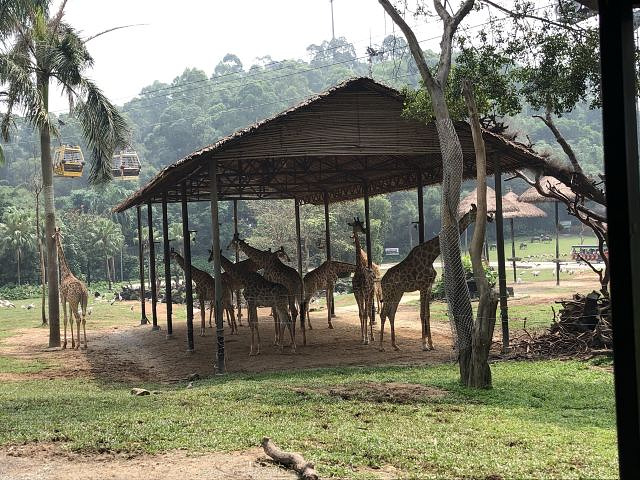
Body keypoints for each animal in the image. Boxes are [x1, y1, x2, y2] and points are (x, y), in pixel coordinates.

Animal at [380, 205, 480, 352]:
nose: (490, 217)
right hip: (388, 293)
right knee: (383, 314)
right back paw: (381, 346)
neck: (431, 256)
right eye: (475, 213)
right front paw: (424, 345)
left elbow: (427, 314)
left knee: (391, 314)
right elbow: (422, 314)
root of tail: (381, 281)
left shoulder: (428, 286)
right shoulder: (422, 286)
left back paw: (395, 345)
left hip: (398, 293)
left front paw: (431, 344)